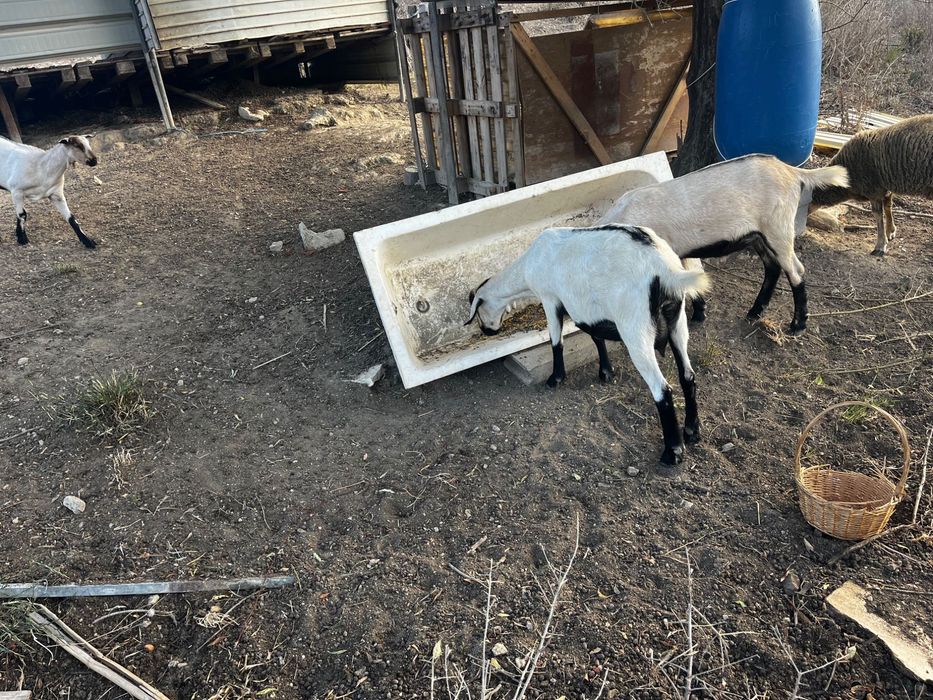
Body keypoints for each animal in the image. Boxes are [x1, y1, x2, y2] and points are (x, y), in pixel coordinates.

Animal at [465, 224, 709, 466]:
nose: (487, 331)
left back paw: (673, 452)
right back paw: (691, 431)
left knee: (662, 389)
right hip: (677, 322)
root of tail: (665, 270)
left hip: (635, 328)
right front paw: (606, 372)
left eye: (477, 312)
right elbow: (595, 337)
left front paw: (555, 379)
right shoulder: (586, 308)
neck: (528, 266)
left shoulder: (550, 299)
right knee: (688, 376)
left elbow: (556, 341)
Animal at [599, 155, 849, 334]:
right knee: (773, 267)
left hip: (778, 228)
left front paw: (696, 316)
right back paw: (754, 312)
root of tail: (792, 171)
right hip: (757, 235)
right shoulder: (680, 252)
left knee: (795, 270)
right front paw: (700, 314)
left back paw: (797, 325)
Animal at [810, 114, 933, 256]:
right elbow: (888, 206)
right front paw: (890, 232)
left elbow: (878, 216)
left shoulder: (873, 190)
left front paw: (880, 246)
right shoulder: (885, 186)